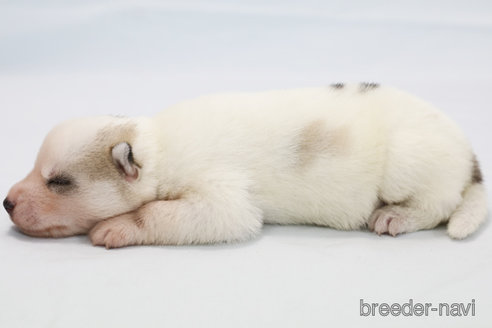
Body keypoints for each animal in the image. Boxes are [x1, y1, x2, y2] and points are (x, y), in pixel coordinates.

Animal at [2, 83, 488, 247]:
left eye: (58, 182)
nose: (6, 202)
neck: (158, 146)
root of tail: (468, 154)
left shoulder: (221, 194)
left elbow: (172, 213)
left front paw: (118, 227)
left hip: (408, 159)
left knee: (438, 203)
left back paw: (396, 216)